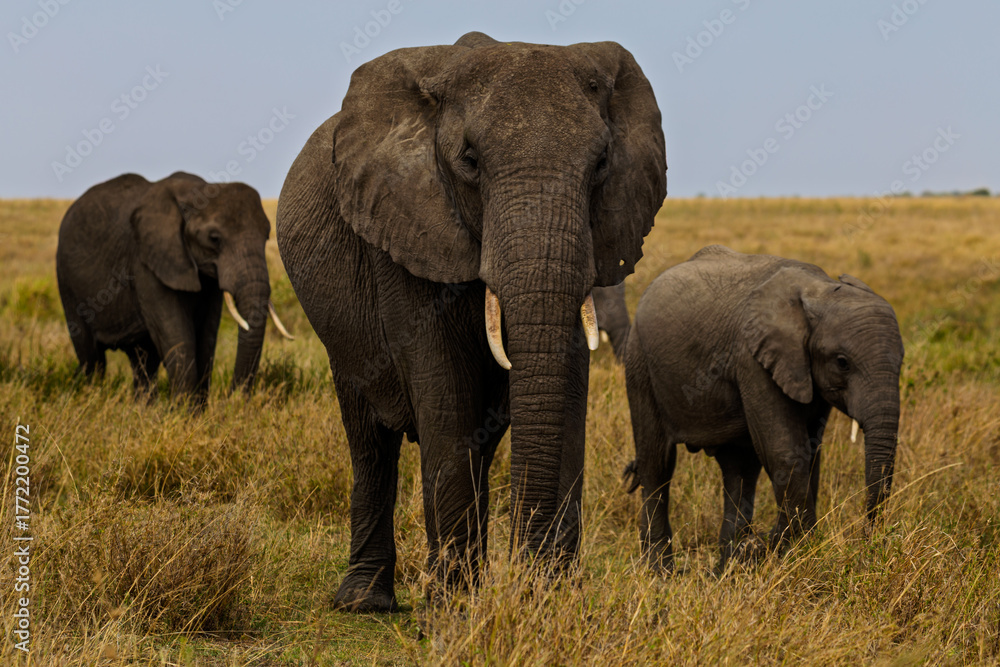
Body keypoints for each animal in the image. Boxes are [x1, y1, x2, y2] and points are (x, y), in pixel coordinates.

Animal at [56, 171, 292, 404]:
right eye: (214, 239)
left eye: (267, 236)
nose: (233, 400)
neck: (196, 192)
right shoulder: (147, 262)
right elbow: (176, 333)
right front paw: (184, 410)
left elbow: (206, 337)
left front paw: (196, 411)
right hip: (68, 284)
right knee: (91, 357)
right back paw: (90, 397)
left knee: (142, 360)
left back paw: (142, 408)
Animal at [276, 31, 666, 611]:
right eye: (470, 160)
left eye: (600, 164)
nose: (526, 581)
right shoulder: (405, 225)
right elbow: (444, 387)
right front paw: (455, 610)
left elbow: (568, 385)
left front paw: (547, 602)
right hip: (339, 334)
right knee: (370, 442)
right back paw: (366, 602)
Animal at [622, 245, 903, 571]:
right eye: (842, 362)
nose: (867, 538)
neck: (819, 290)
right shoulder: (752, 359)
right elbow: (787, 452)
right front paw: (792, 552)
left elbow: (810, 452)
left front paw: (778, 550)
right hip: (639, 361)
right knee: (657, 461)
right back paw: (661, 571)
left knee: (738, 469)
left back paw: (726, 569)